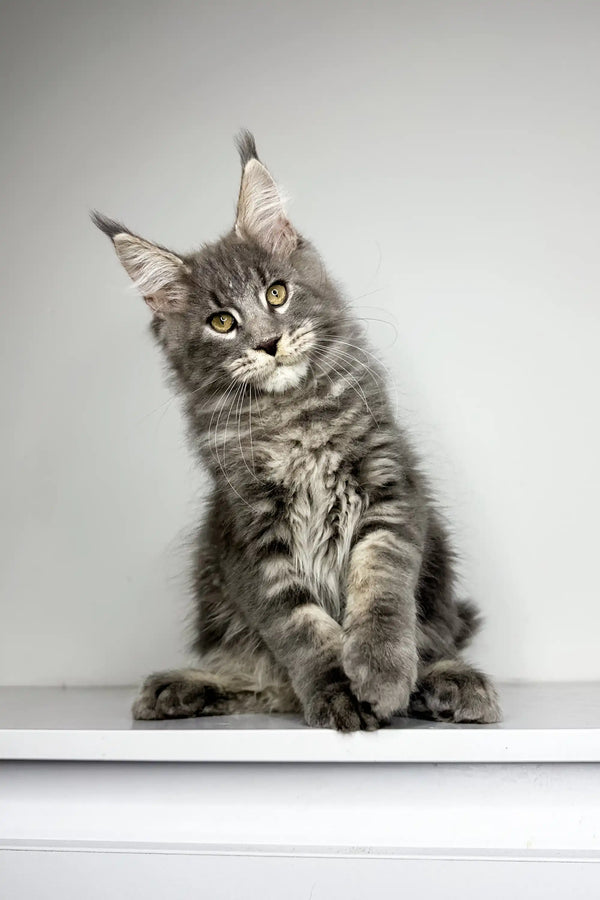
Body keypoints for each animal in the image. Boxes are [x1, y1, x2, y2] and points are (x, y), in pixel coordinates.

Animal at [91, 132, 500, 732]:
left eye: (277, 294)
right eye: (222, 322)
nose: (269, 343)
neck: (293, 419)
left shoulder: (390, 489)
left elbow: (380, 586)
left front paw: (380, 671)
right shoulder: (249, 536)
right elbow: (300, 630)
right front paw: (338, 694)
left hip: (438, 572)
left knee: (435, 640)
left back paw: (448, 684)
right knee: (261, 679)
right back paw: (181, 688)